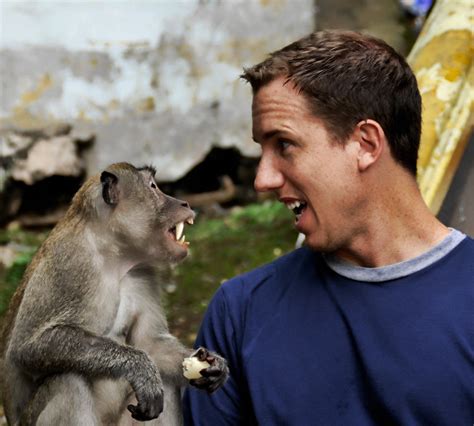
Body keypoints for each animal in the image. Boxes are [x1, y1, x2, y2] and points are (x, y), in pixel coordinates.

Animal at [0, 163, 230, 426]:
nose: (184, 203)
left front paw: (214, 363)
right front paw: (139, 367)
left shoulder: (142, 273)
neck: (113, 255)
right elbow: (27, 348)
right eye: (153, 186)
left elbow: (150, 343)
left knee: (166, 379)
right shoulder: (70, 264)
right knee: (68, 381)